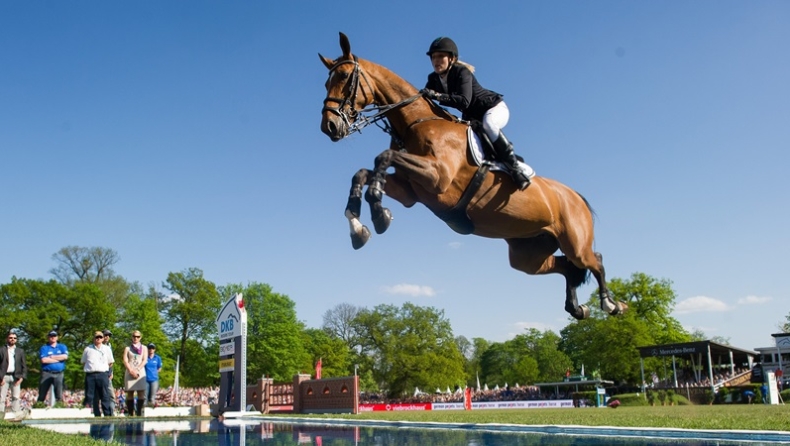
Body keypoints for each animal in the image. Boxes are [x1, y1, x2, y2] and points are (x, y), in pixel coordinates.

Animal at [318, 34, 628, 320]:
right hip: (527, 253)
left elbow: (382, 158)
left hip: (575, 241)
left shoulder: (437, 178)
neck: (415, 121)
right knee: (566, 266)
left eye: (344, 77)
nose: (329, 127)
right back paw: (577, 308)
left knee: (593, 260)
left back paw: (611, 304)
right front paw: (360, 227)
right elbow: (363, 173)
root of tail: (576, 196)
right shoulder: (411, 191)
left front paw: (379, 216)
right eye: (325, 83)